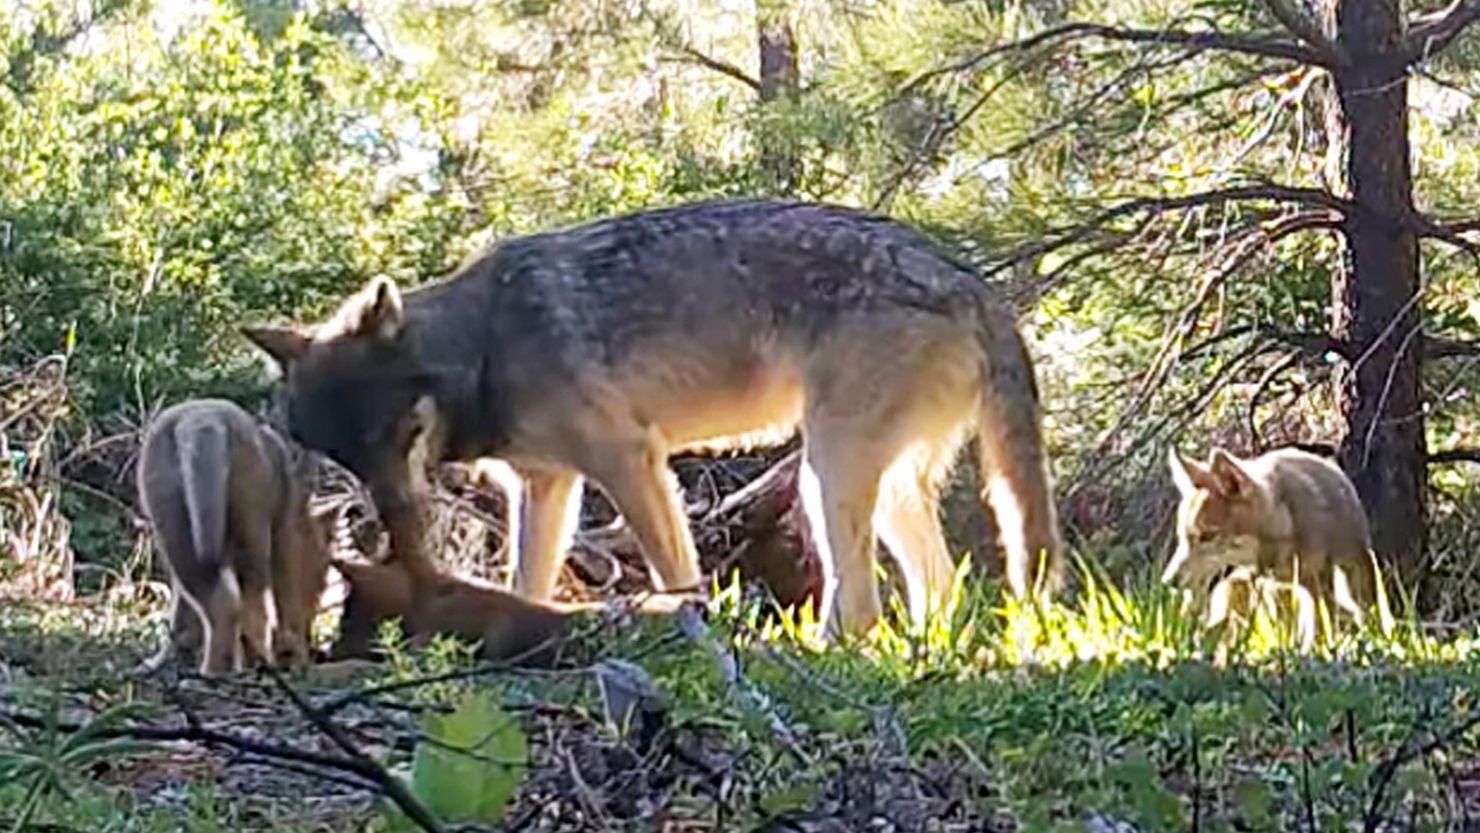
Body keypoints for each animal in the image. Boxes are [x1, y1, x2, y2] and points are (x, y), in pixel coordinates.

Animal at [137, 399, 336, 676]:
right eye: (323, 570)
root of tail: (202, 421)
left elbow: (181, 611)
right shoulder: (283, 538)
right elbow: (286, 602)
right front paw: (295, 656)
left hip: (175, 522)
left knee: (219, 601)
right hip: (249, 525)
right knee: (249, 603)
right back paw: (243, 665)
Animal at [243, 199, 1062, 635]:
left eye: (392, 434)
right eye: (343, 457)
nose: (392, 522)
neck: (485, 345)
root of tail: (972, 281)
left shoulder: (630, 459)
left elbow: (676, 568)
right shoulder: (545, 487)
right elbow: (526, 579)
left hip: (824, 477)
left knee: (861, 605)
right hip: (872, 489)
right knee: (942, 589)